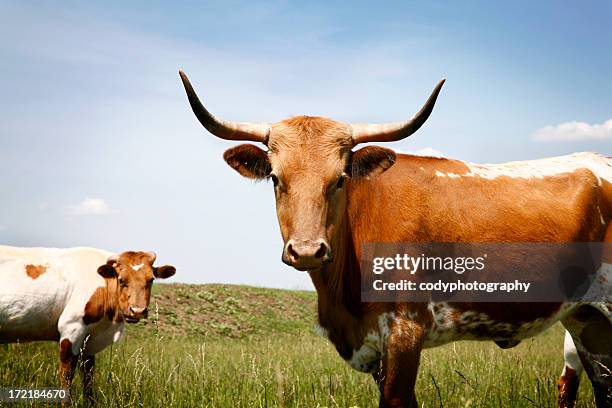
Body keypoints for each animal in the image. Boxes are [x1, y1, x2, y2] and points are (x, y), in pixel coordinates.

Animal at [0, 245, 177, 402]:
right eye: (121, 280)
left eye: (151, 279)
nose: (137, 310)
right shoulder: (71, 329)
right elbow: (66, 378)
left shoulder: (89, 341)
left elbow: (88, 379)